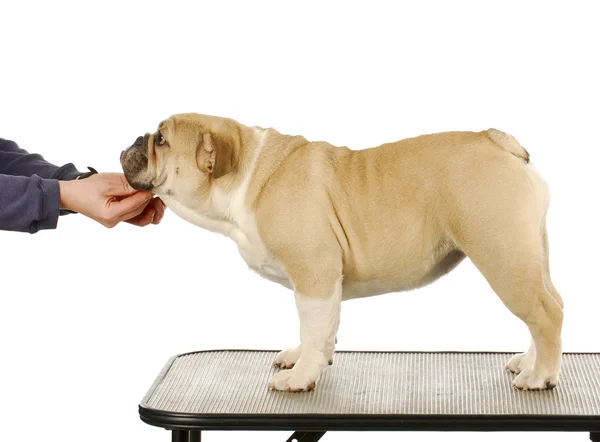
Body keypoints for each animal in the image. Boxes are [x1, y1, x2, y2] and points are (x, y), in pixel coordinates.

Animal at [120, 112, 564, 392]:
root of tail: (497, 139)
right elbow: (318, 329)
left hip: (503, 254)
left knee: (544, 313)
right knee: (548, 304)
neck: (246, 175)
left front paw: (300, 378)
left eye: (162, 140)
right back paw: (529, 362)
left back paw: (539, 376)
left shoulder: (314, 273)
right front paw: (305, 359)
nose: (133, 140)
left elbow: (313, 328)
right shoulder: (317, 286)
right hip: (530, 253)